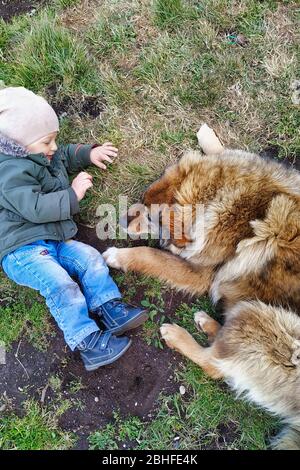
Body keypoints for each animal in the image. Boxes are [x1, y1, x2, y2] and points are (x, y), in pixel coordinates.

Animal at [102, 126, 300, 452]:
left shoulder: (199, 273)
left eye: (152, 218)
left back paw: (177, 334)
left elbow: (151, 254)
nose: (119, 218)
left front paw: (118, 256)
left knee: (215, 366)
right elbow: (221, 153)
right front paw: (210, 141)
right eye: (142, 200)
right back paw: (206, 322)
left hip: (258, 315)